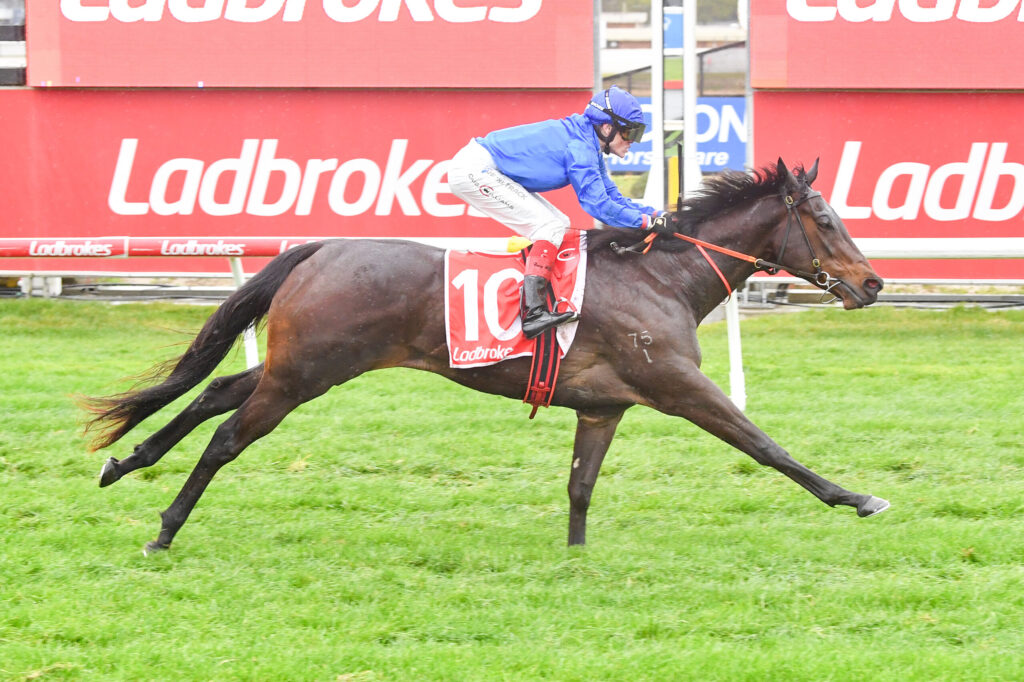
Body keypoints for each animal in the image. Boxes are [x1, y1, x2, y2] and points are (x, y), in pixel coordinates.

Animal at [81, 158, 890, 554]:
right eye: (823, 219)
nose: (873, 283)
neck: (661, 275)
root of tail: (321, 247)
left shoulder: (603, 407)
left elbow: (580, 487)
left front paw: (576, 557)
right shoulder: (677, 383)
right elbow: (765, 445)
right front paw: (856, 497)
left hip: (302, 362)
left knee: (215, 390)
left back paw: (127, 460)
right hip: (306, 373)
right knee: (226, 433)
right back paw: (164, 528)